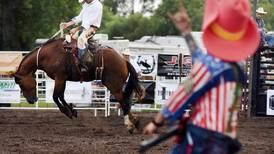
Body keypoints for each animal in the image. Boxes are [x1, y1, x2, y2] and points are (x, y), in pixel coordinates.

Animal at [13, 38, 144, 133]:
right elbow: (61, 96)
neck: (48, 54)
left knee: (124, 101)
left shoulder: (59, 77)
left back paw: (131, 125)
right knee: (125, 101)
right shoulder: (63, 79)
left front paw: (68, 111)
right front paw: (72, 110)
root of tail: (124, 61)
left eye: (21, 84)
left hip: (114, 86)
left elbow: (56, 96)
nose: (31, 100)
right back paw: (134, 123)